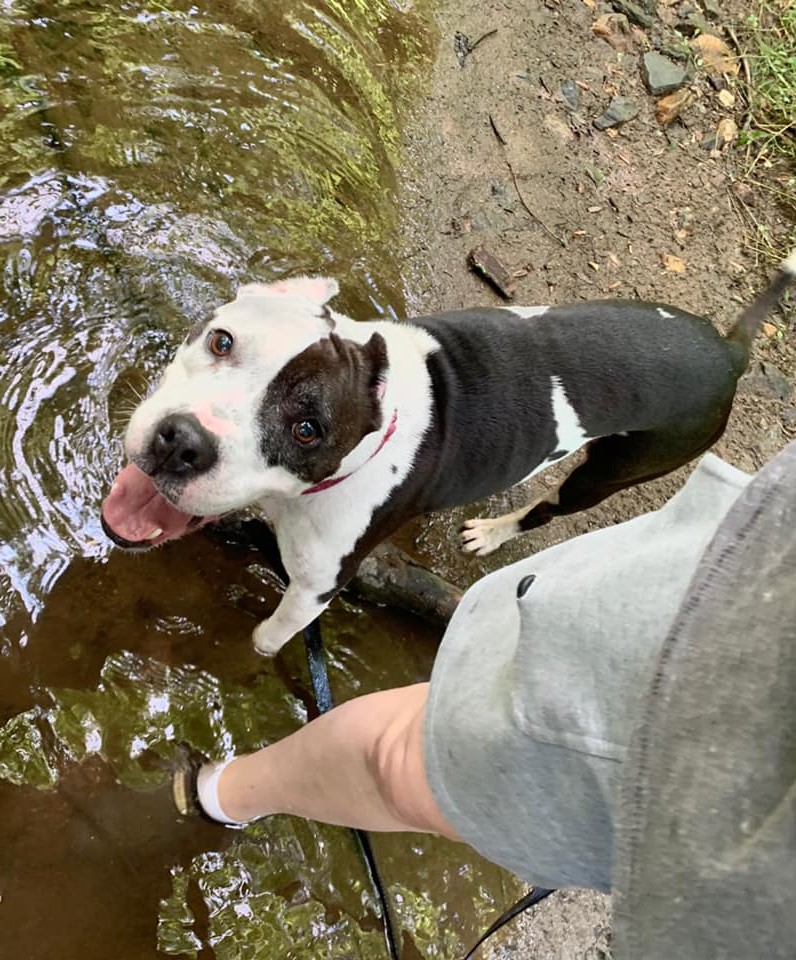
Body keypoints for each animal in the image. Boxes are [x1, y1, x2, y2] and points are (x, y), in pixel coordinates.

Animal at [102, 255, 792, 652]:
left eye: (307, 429)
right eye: (222, 341)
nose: (182, 441)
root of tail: (729, 354)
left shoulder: (314, 590)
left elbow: (268, 639)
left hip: (614, 470)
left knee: (551, 505)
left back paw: (493, 531)